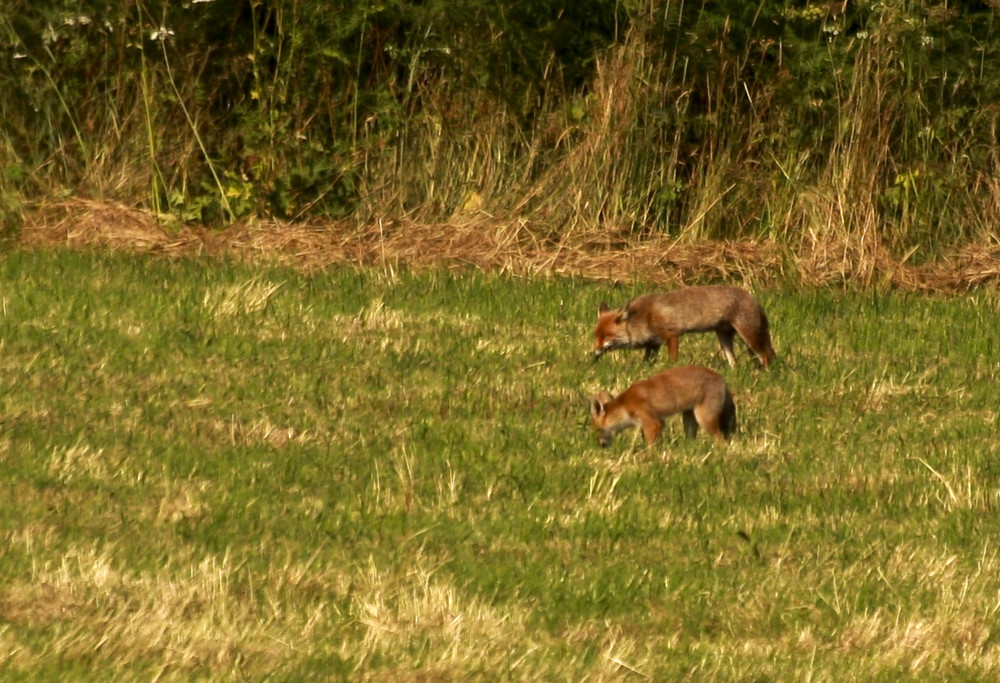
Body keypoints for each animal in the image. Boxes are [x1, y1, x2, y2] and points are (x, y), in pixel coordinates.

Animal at [584, 364, 736, 448]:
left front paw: (649, 458)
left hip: (704, 419)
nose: (600, 447)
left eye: (596, 430)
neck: (625, 405)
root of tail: (723, 381)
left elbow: (650, 446)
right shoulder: (659, 422)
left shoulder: (651, 422)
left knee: (721, 440)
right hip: (689, 419)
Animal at [592, 284, 772, 368]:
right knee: (734, 362)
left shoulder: (671, 335)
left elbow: (673, 359)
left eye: (606, 336)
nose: (595, 353)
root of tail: (753, 298)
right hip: (724, 338)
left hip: (749, 336)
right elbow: (647, 360)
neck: (644, 317)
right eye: (596, 337)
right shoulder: (653, 343)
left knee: (766, 355)